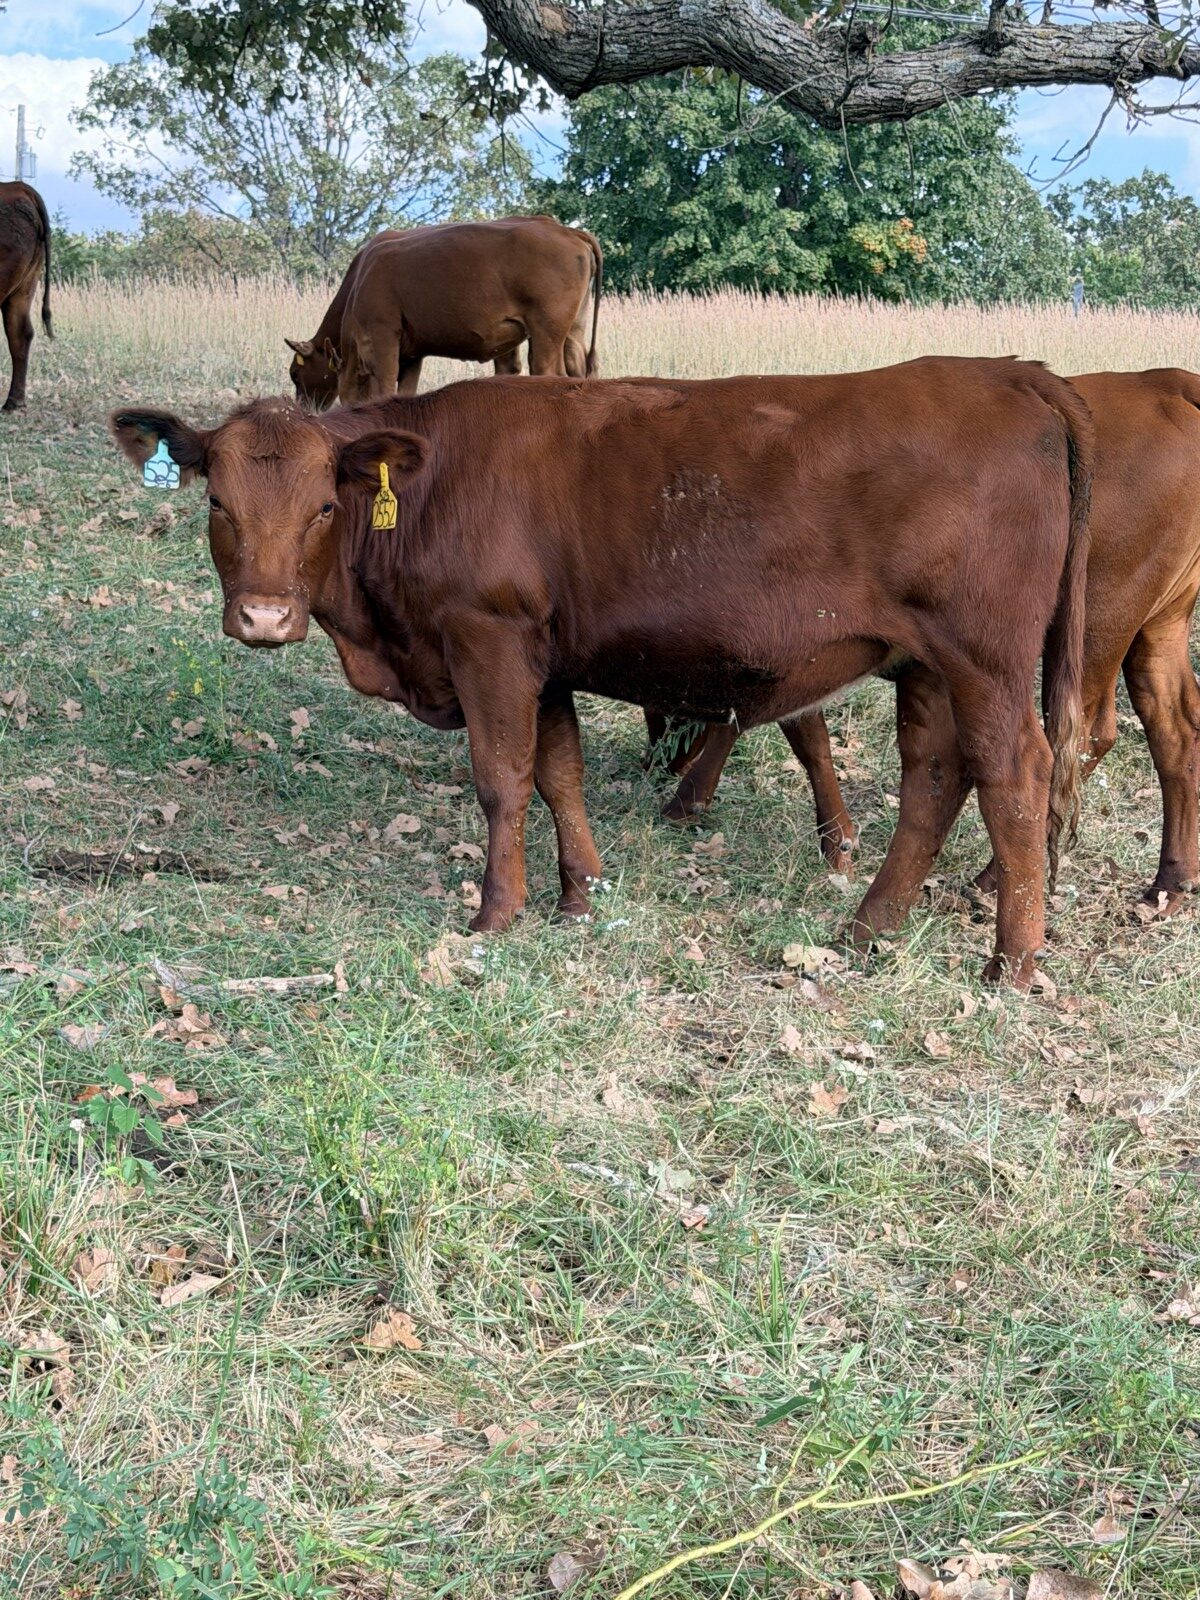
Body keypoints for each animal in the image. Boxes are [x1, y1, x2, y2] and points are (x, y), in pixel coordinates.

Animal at [110, 357, 1092, 987]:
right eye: (216, 501)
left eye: (323, 505)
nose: (264, 618)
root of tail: (1016, 374)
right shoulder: (541, 661)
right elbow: (559, 773)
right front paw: (580, 894)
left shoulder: (488, 639)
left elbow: (503, 778)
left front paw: (496, 912)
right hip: (925, 665)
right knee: (935, 778)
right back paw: (867, 927)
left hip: (986, 658)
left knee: (1014, 775)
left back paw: (1012, 963)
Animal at [285, 216, 603, 409]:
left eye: (295, 374)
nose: (302, 409)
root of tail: (568, 231)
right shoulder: (411, 354)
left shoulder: (383, 336)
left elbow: (385, 387)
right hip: (573, 332)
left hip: (546, 332)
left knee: (550, 371)